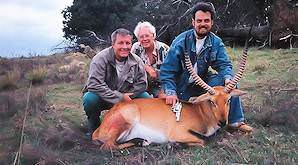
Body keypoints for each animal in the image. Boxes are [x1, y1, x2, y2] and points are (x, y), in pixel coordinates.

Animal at [92, 42, 250, 150]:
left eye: (228, 100)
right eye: (212, 101)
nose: (222, 122)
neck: (200, 112)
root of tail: (99, 128)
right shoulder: (180, 133)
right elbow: (202, 141)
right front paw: (175, 144)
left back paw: (142, 141)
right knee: (107, 145)